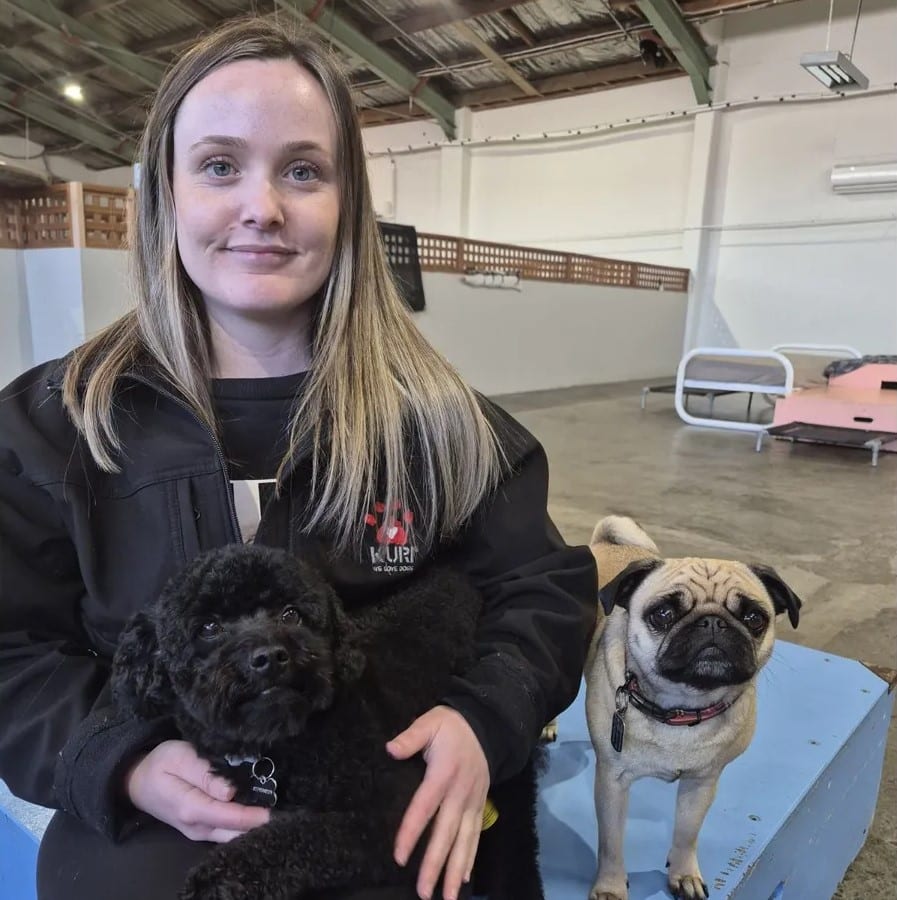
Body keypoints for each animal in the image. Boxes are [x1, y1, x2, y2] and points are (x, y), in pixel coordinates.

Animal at [112, 540, 544, 900]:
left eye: (291, 614)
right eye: (209, 627)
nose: (269, 657)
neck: (284, 746)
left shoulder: (399, 816)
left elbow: (301, 836)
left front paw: (215, 880)